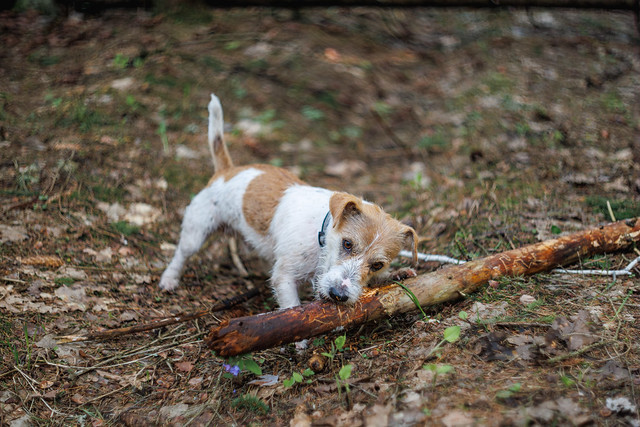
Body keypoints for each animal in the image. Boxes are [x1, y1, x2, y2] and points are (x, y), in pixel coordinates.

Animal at [160, 93, 420, 310]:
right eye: (347, 244)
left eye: (378, 265)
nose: (338, 295)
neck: (321, 236)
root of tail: (227, 170)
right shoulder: (284, 278)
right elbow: (291, 308)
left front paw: (396, 274)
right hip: (196, 231)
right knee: (181, 253)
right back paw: (169, 279)